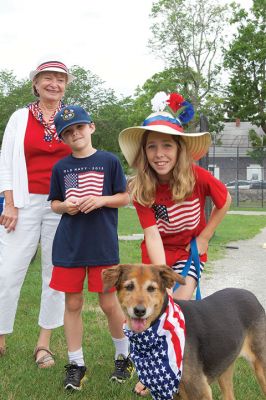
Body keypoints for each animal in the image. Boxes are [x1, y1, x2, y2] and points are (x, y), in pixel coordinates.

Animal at [103, 264, 266, 398]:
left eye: (151, 288)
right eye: (129, 286)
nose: (139, 311)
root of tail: (252, 296)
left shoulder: (200, 391)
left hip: (261, 369)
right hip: (225, 366)